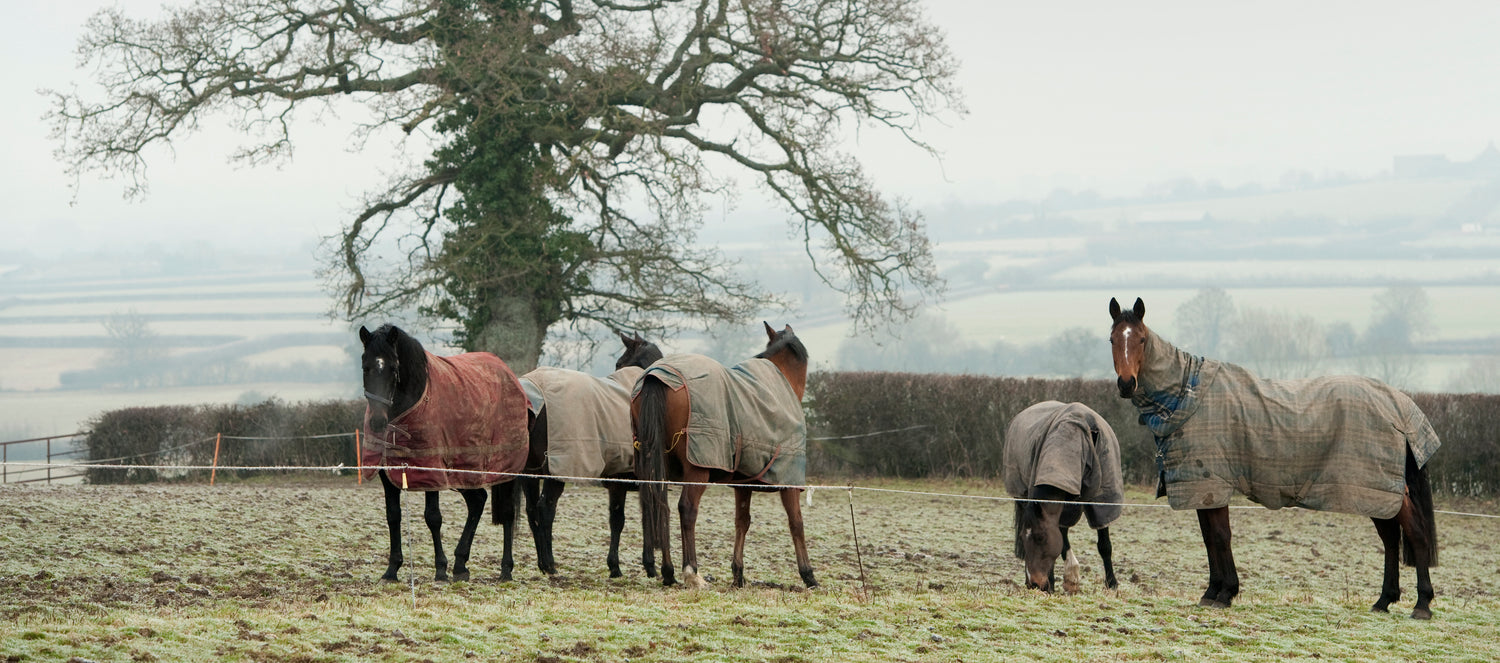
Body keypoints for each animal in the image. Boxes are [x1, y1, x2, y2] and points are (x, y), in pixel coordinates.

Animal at [359, 324, 530, 582]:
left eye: (393, 368)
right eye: (365, 367)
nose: (378, 422)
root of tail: (510, 375)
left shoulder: (431, 469)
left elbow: (433, 517)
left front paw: (440, 570)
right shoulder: (387, 474)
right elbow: (393, 516)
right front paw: (391, 570)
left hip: (506, 470)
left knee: (508, 513)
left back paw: (505, 569)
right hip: (464, 471)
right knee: (478, 501)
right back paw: (460, 565)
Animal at [509, 331, 664, 578]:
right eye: (618, 364)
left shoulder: (618, 482)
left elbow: (617, 520)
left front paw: (615, 566)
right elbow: (647, 518)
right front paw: (649, 566)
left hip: (530, 473)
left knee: (532, 510)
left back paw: (543, 563)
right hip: (558, 470)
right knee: (545, 509)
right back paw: (550, 564)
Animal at [631, 322, 816, 589]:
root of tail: (656, 375)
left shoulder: (743, 482)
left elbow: (742, 521)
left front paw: (738, 573)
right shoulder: (788, 481)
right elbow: (796, 523)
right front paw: (808, 574)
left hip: (656, 465)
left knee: (660, 507)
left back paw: (668, 572)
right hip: (697, 469)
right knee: (687, 509)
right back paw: (692, 572)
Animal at [1004, 401, 1122, 593]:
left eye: (1040, 537)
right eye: (1023, 537)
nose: (1034, 584)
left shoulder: (1103, 503)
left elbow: (1104, 545)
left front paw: (1112, 583)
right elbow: (1062, 542)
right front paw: (1067, 579)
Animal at [1108, 297, 1440, 618]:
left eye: (1140, 339)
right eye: (1112, 338)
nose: (1126, 384)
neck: (1189, 396)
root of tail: (1398, 403)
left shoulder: (1213, 484)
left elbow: (1221, 536)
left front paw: (1225, 593)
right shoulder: (1202, 489)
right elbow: (1209, 538)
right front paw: (1213, 591)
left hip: (1379, 488)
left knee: (1415, 534)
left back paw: (1422, 604)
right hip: (1375, 493)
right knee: (1390, 539)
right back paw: (1384, 600)